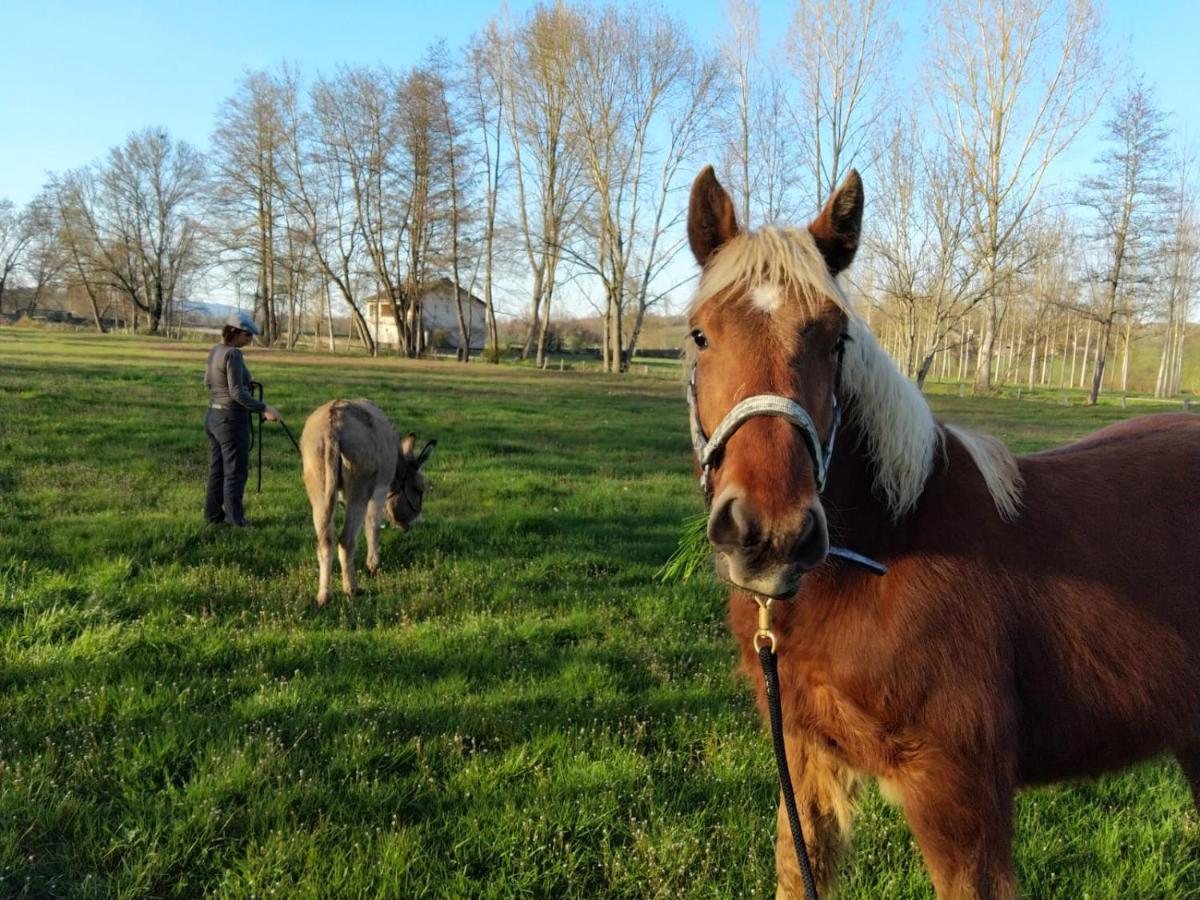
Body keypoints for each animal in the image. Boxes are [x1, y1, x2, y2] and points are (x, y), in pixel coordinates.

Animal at [686, 165, 1200, 897]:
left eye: (837, 339)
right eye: (701, 335)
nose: (770, 533)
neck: (883, 555)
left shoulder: (958, 795)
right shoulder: (806, 760)